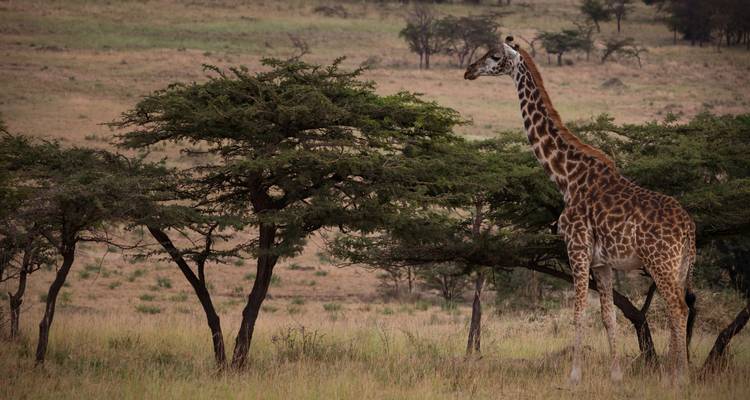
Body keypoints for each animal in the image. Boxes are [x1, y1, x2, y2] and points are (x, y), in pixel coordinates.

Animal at [464, 37, 697, 384]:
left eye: (494, 56)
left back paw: (679, 379)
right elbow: (608, 316)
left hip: (661, 263)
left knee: (678, 309)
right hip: (680, 266)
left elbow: (578, 312)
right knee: (678, 309)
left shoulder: (576, 247)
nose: (469, 70)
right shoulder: (602, 262)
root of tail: (688, 228)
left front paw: (573, 375)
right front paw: (615, 376)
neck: (566, 177)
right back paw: (673, 374)